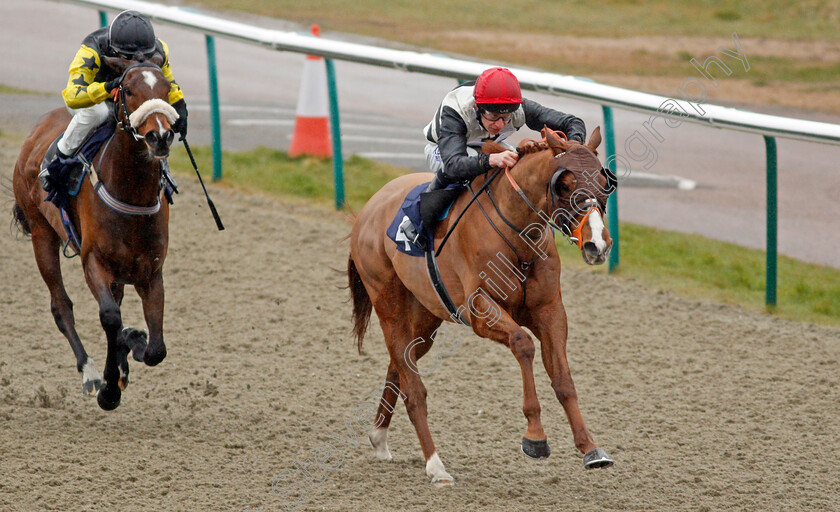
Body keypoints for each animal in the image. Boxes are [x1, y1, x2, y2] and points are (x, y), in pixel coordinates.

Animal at [12, 61, 180, 412]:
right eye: (127, 89)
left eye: (167, 88)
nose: (159, 136)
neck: (131, 194)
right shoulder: (95, 262)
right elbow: (110, 318)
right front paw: (109, 390)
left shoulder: (150, 271)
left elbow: (156, 349)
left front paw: (133, 346)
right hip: (41, 232)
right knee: (61, 306)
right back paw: (90, 373)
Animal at [348, 127, 616, 484]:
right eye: (566, 184)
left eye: (603, 182)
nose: (597, 244)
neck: (518, 235)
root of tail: (370, 207)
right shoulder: (480, 309)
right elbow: (523, 344)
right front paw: (535, 437)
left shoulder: (550, 311)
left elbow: (562, 378)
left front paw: (590, 447)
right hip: (387, 302)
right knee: (413, 386)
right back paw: (436, 465)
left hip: (425, 315)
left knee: (401, 363)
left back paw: (379, 437)